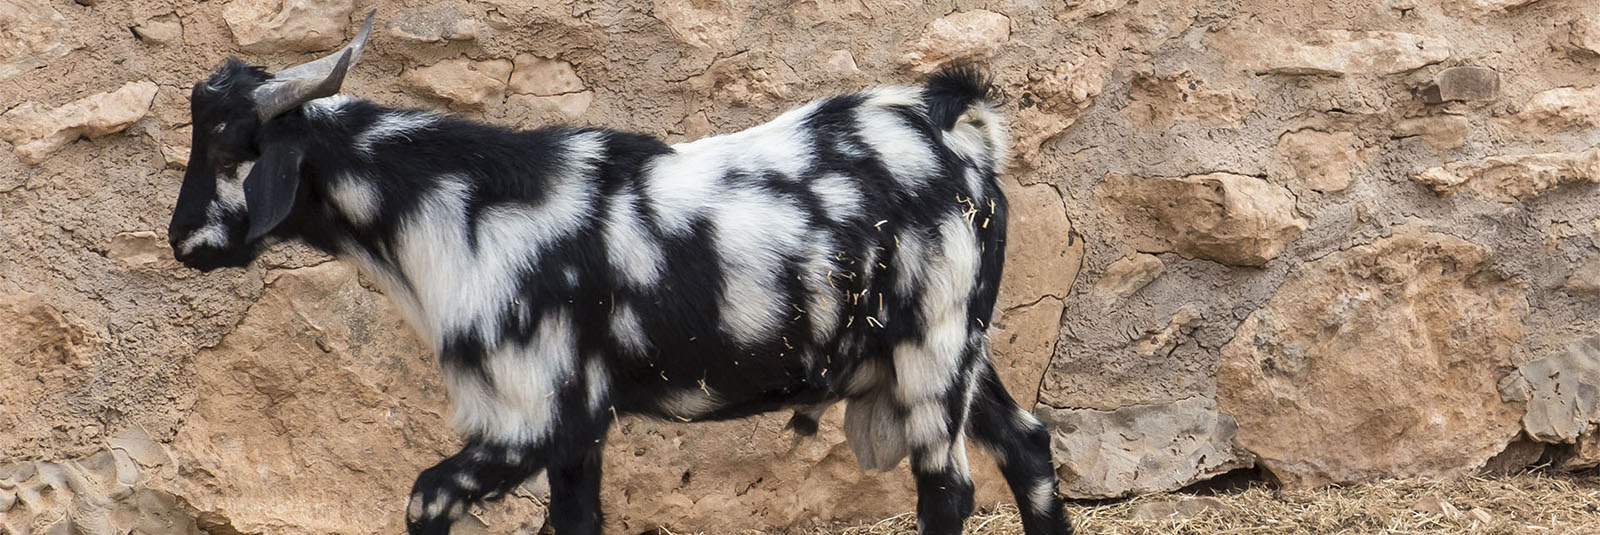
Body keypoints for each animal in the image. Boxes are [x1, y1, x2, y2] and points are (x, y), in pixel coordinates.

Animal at [165, 11, 1075, 535]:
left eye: (229, 148)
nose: (179, 242)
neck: (455, 205)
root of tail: (954, 128)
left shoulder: (527, 417)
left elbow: (426, 498)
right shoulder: (579, 426)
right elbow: (576, 523)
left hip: (933, 356)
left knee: (947, 490)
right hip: (958, 348)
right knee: (1028, 447)